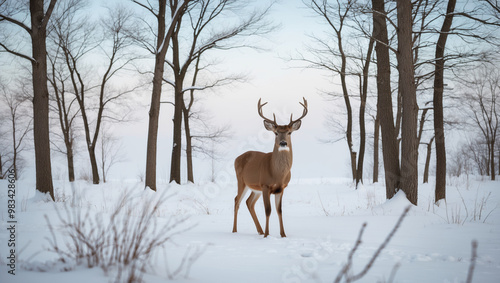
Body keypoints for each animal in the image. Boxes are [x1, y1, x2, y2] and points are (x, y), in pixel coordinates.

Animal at [232, 97, 306, 237]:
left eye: (289, 132)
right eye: (276, 133)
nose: (283, 143)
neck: (277, 174)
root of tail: (236, 158)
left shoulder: (281, 188)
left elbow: (279, 210)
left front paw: (283, 235)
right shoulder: (265, 185)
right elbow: (268, 210)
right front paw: (267, 235)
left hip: (255, 188)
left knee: (249, 202)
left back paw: (259, 231)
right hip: (242, 181)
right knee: (237, 200)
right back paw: (235, 231)